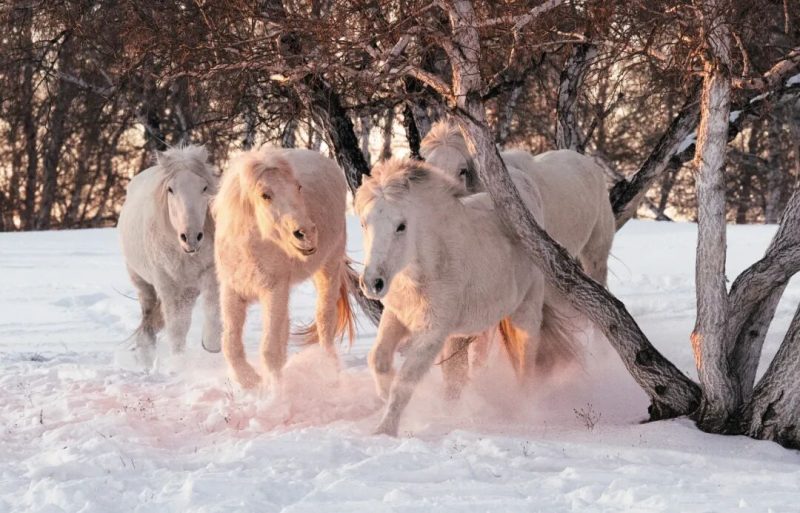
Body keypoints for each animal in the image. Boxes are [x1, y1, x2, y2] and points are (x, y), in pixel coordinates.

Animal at [118, 145, 221, 368]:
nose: (191, 237)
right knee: (149, 320)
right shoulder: (167, 284)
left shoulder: (210, 274)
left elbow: (212, 313)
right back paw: (146, 357)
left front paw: (211, 347)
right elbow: (176, 328)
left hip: (188, 291)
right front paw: (179, 364)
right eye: (170, 189)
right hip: (143, 284)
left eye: (204, 188)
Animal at [213, 147, 362, 389]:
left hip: (328, 267)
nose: (306, 233)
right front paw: (250, 381)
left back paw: (329, 370)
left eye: (298, 187)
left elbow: (270, 348)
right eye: (265, 194)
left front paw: (275, 391)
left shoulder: (274, 289)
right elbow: (230, 343)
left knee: (325, 319)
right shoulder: (232, 290)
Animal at [355, 158, 579, 436]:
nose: (372, 283)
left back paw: (524, 411)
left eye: (401, 226)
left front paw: (385, 430)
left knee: (526, 361)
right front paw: (384, 398)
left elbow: (405, 381)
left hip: (526, 311)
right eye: (364, 223)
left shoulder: (433, 332)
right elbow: (378, 359)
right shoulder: (396, 316)